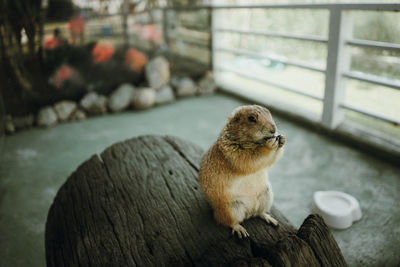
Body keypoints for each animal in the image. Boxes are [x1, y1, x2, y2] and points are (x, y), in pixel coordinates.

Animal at [198, 104, 286, 239]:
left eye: (269, 112)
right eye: (251, 119)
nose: (273, 129)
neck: (255, 142)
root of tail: (250, 211)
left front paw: (282, 139)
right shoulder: (233, 151)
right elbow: (251, 158)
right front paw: (270, 144)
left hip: (266, 196)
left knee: (259, 213)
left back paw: (270, 219)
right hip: (230, 209)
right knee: (228, 222)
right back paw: (240, 230)